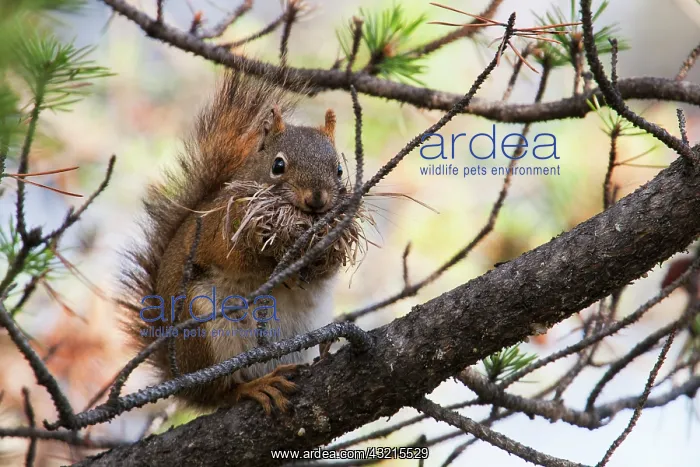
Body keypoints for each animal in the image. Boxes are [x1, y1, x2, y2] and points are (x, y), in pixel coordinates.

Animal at [120, 71, 365, 414]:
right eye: (278, 165)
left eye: (340, 169)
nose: (317, 199)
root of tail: (180, 380)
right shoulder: (220, 231)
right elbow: (236, 258)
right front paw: (280, 263)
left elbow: (327, 269)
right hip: (205, 326)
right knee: (221, 392)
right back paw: (254, 386)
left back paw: (324, 349)